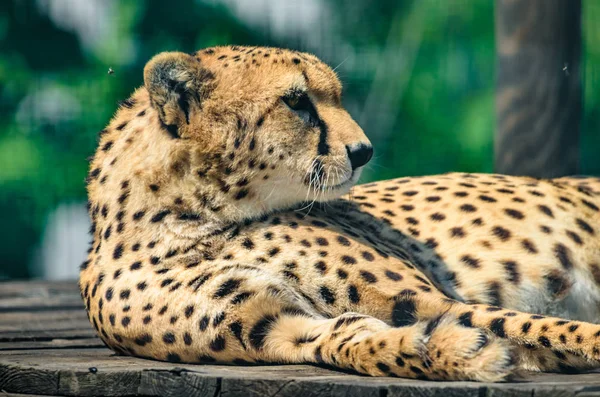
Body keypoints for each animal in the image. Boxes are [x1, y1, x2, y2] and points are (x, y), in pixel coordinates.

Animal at [81, 44, 600, 380]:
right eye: (296, 101)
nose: (364, 151)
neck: (189, 220)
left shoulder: (431, 298)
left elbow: (532, 324)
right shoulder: (275, 329)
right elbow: (351, 340)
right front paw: (451, 350)